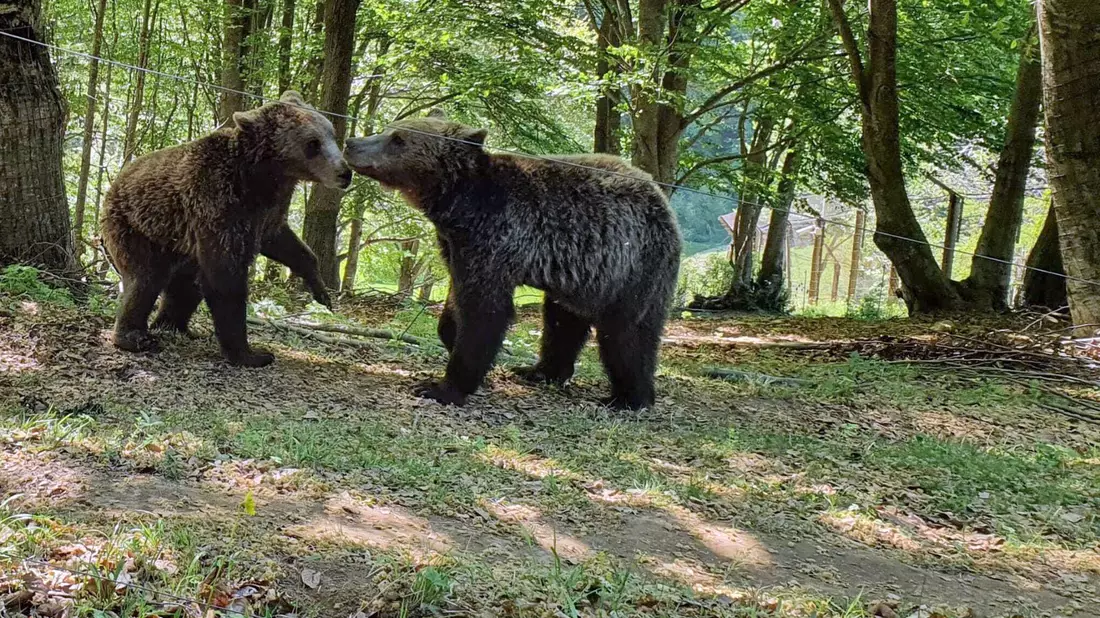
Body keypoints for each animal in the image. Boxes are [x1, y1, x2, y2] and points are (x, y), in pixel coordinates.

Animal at [101, 91, 351, 367]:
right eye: (313, 143)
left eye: (331, 134)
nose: (345, 172)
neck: (263, 176)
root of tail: (116, 183)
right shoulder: (218, 202)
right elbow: (226, 276)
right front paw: (251, 354)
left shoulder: (268, 211)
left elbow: (285, 243)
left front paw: (322, 293)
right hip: (139, 228)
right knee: (145, 279)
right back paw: (135, 337)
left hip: (182, 245)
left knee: (186, 286)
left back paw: (175, 326)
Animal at [343, 112, 682, 410]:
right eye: (391, 129)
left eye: (398, 139)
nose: (352, 142)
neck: (459, 205)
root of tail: (662, 201)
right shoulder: (455, 244)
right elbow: (456, 300)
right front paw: (452, 338)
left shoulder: (496, 237)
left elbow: (485, 310)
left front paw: (443, 386)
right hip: (581, 279)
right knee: (562, 322)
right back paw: (540, 371)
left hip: (632, 266)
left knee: (627, 335)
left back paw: (629, 398)